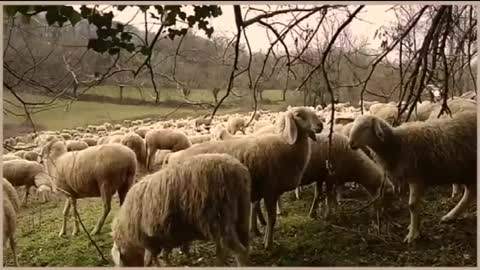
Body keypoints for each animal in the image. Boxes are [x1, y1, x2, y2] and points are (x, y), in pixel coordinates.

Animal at [109, 153, 251, 266]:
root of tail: (238, 171)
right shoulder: (165, 235)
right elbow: (164, 253)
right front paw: (169, 262)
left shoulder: (149, 240)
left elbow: (153, 258)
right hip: (241, 214)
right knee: (238, 247)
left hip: (219, 219)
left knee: (236, 251)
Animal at [168, 106, 322, 250]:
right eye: (299, 115)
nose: (320, 125)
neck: (287, 145)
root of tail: (175, 158)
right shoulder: (270, 190)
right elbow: (272, 219)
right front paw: (268, 243)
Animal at [348, 110, 476, 244]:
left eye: (365, 127)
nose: (350, 143)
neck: (397, 144)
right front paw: (414, 228)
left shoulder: (416, 176)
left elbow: (412, 205)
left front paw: (412, 234)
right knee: (470, 193)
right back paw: (451, 216)